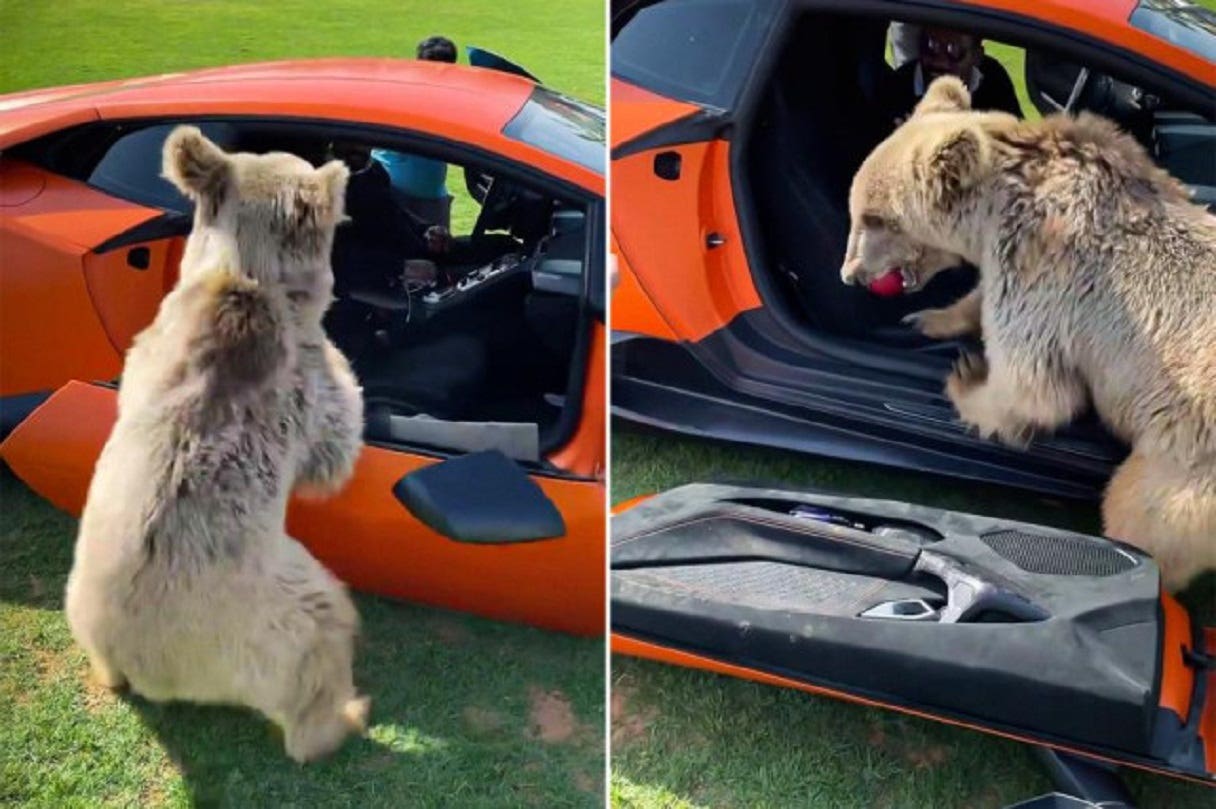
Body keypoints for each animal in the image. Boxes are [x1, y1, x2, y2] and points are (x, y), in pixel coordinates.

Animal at [846, 77, 1216, 593]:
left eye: (876, 218)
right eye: (858, 209)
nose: (851, 273)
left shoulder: (1047, 268)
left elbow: (1032, 385)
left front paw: (966, 377)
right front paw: (929, 318)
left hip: (1183, 468)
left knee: (1136, 513)